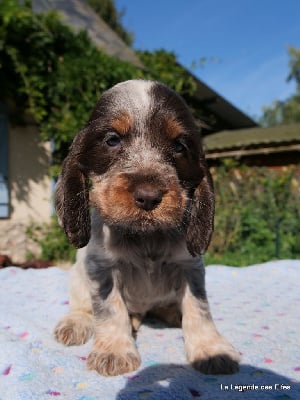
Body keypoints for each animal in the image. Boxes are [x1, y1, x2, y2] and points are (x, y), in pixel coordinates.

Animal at [54, 79, 240, 376]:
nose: (149, 196)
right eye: (112, 140)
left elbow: (198, 308)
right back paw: (76, 323)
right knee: (83, 306)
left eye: (179, 146)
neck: (145, 237)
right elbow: (110, 309)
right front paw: (114, 351)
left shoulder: (190, 268)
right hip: (77, 274)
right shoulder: (103, 269)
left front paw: (211, 349)